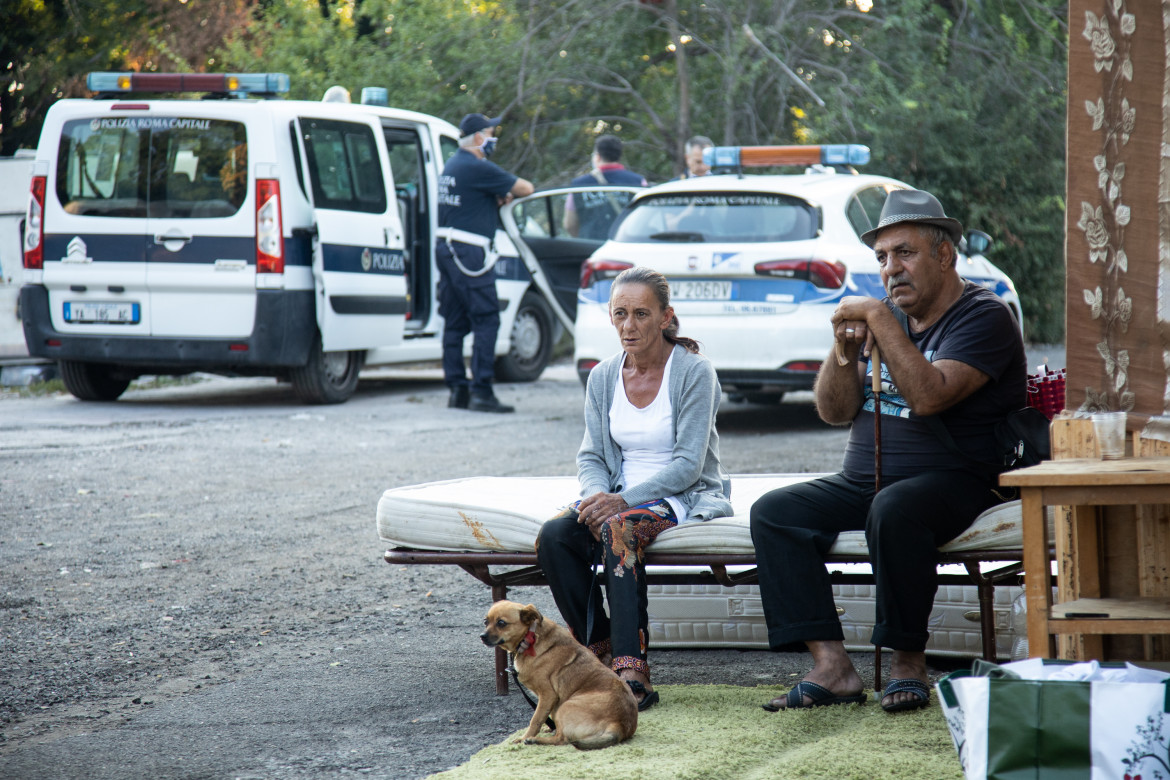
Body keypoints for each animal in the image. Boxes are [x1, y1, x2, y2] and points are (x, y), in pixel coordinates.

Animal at [477, 603, 636, 748]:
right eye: (485, 622)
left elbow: (535, 720)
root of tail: (620, 725)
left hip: (565, 707)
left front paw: (524, 738)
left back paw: (535, 740)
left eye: (501, 623)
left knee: (562, 739)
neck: (530, 637)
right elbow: (542, 717)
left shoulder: (548, 695)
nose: (482, 637)